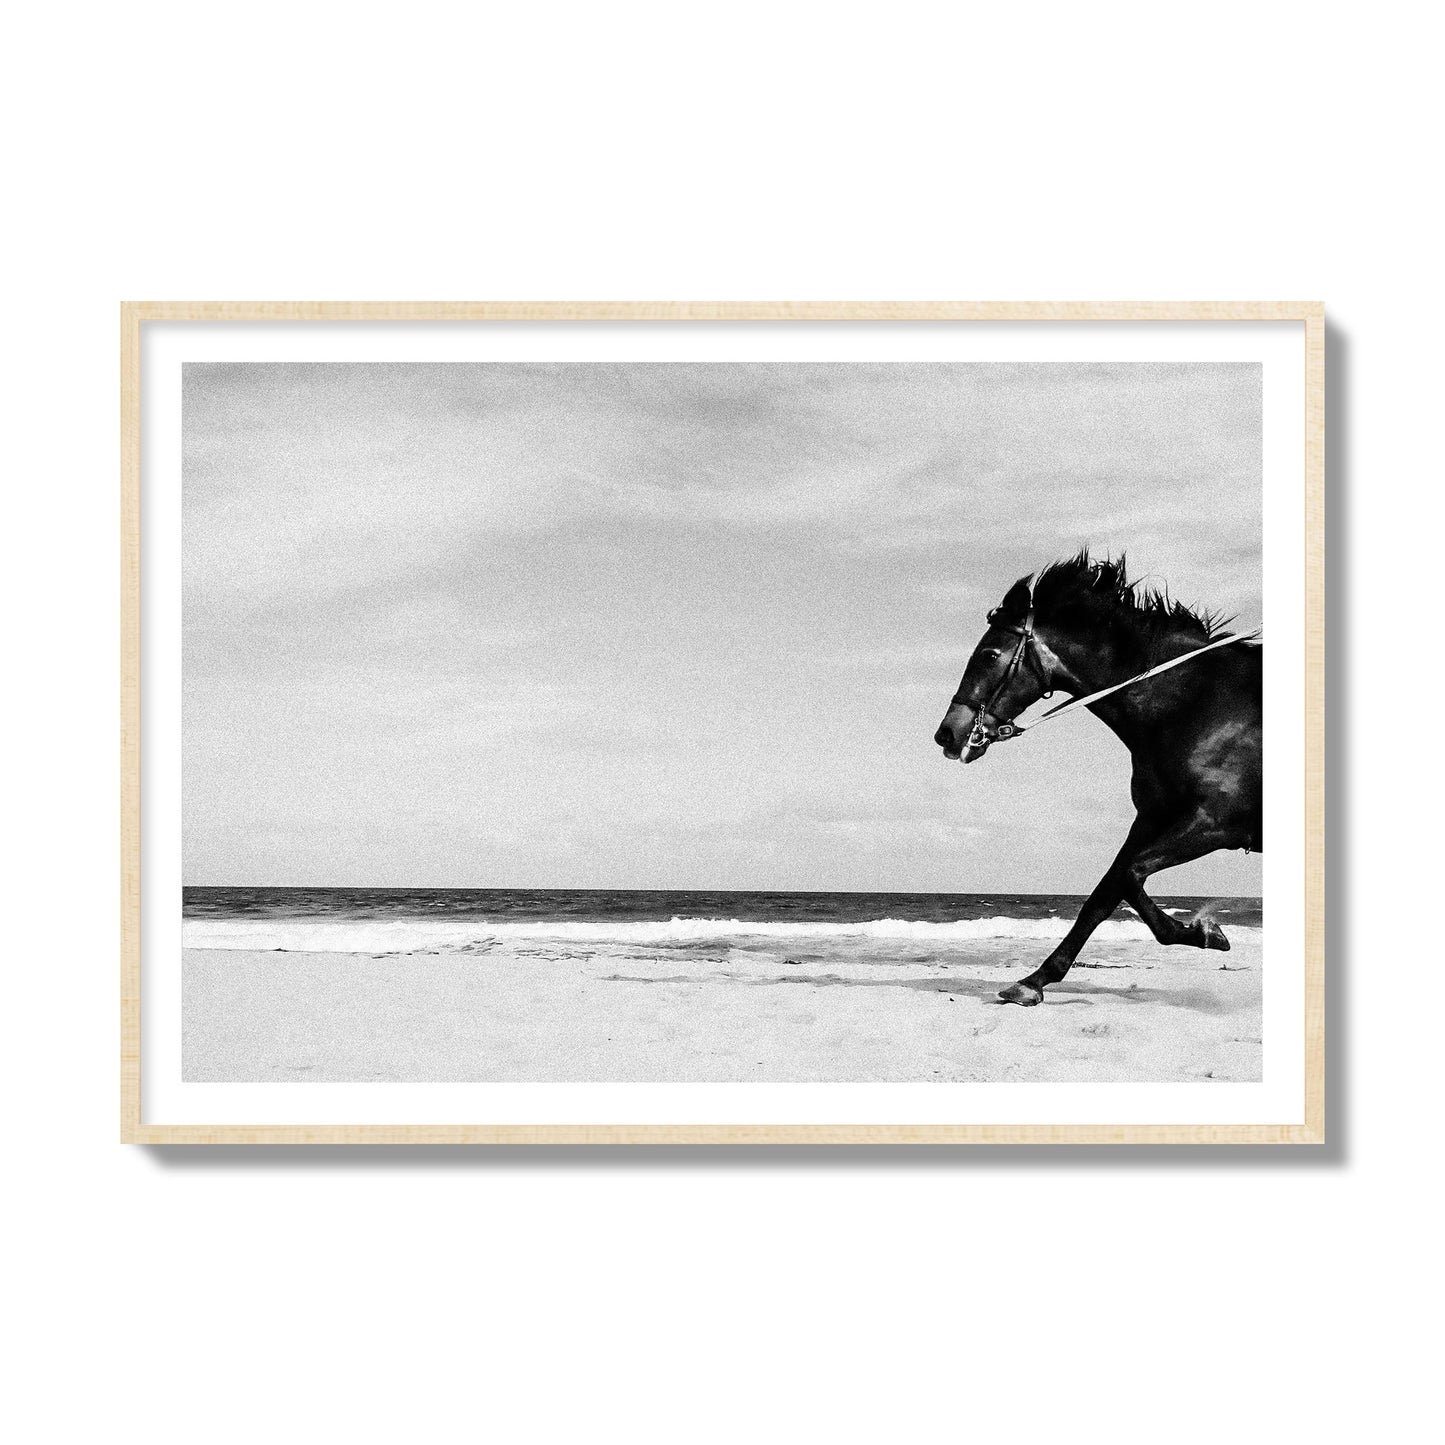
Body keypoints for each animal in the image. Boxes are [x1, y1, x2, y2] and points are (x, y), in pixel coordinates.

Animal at [933, 553, 1262, 1006]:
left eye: (990, 654)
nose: (948, 734)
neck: (1197, 704)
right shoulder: (1152, 819)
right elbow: (1105, 893)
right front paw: (1034, 980)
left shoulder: (1215, 823)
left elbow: (1128, 876)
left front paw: (1204, 931)